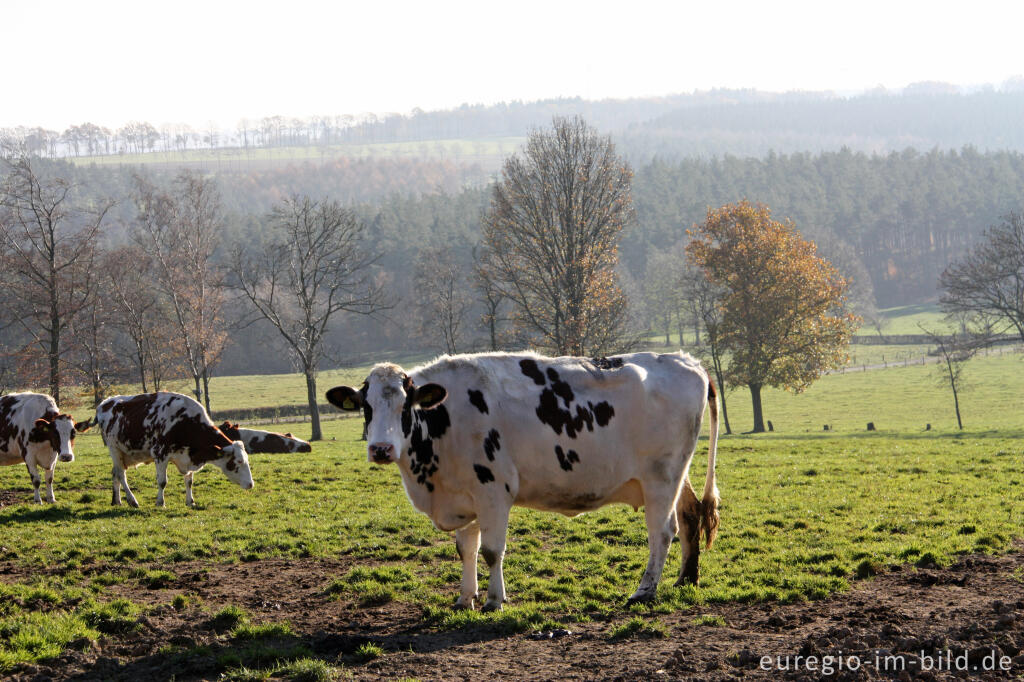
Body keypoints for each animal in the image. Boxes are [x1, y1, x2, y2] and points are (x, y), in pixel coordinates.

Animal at [96, 391, 253, 507]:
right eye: (238, 461)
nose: (251, 484)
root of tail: (105, 403)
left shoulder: (189, 455)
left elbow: (189, 481)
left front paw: (190, 502)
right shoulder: (160, 454)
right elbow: (162, 481)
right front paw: (160, 503)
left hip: (123, 454)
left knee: (115, 473)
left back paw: (117, 501)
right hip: (114, 448)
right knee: (121, 475)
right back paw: (132, 500)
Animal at [327, 350, 720, 606]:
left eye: (405, 405)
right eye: (366, 406)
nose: (380, 448)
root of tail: (686, 359)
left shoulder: (493, 490)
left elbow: (491, 550)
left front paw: (494, 600)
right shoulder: (464, 494)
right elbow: (466, 548)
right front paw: (465, 598)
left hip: (660, 477)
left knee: (662, 532)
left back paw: (644, 591)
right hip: (677, 472)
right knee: (689, 514)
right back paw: (686, 579)